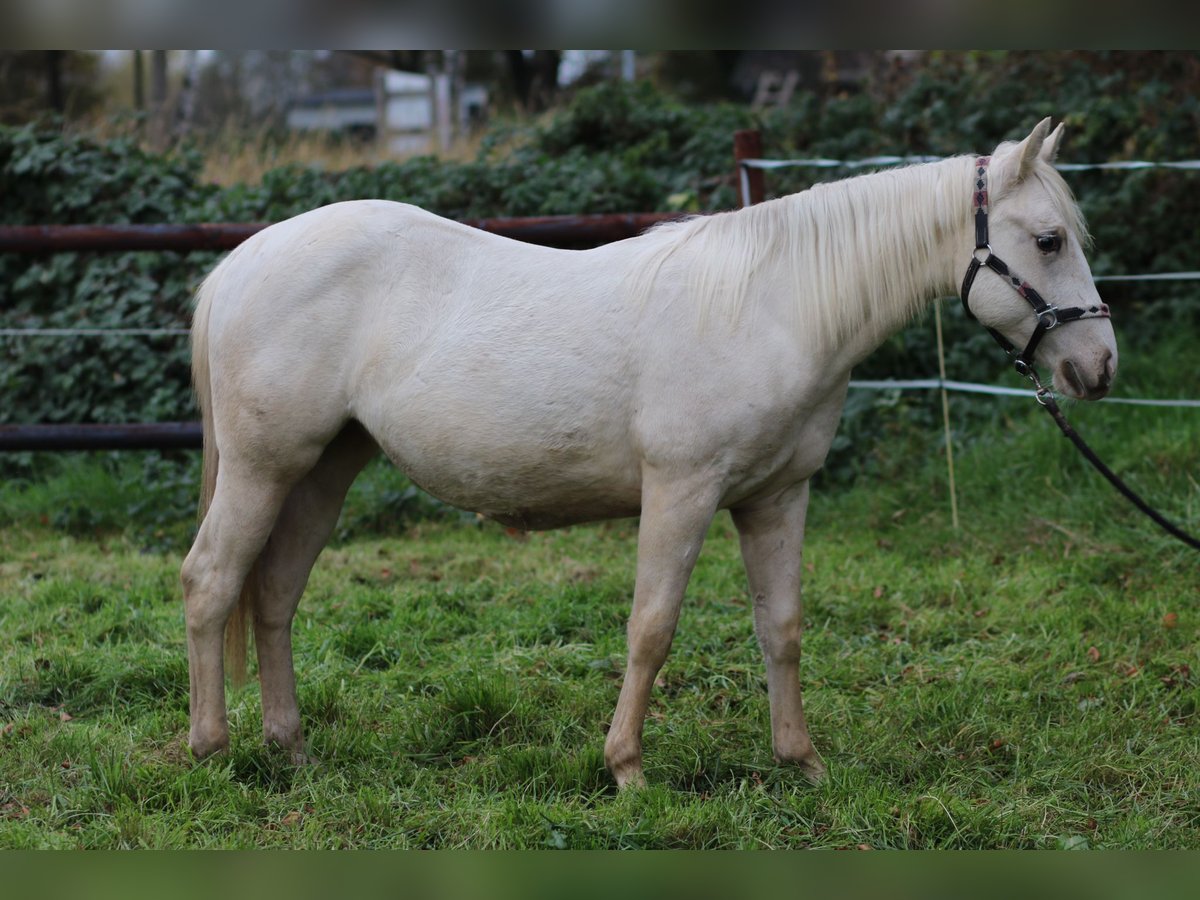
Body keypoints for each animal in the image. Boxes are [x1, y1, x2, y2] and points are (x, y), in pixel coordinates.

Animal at [182, 121, 1118, 787]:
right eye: (1047, 240)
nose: (1098, 367)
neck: (773, 307)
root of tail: (243, 260)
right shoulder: (682, 491)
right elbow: (651, 628)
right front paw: (627, 769)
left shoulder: (778, 497)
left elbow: (781, 629)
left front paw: (802, 762)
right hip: (266, 467)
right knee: (211, 582)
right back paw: (211, 749)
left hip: (322, 470)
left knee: (273, 595)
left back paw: (292, 751)